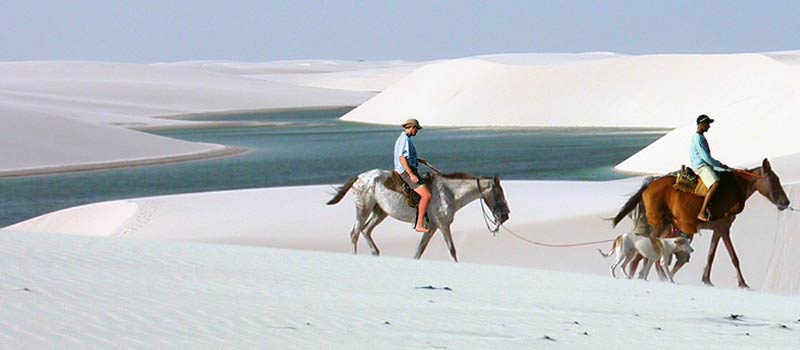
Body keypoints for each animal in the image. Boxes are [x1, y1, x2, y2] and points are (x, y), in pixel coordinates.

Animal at [326, 168, 510, 262]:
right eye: (499, 193)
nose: (505, 216)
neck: (449, 193)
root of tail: (359, 177)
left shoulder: (432, 228)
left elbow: (419, 251)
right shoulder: (443, 225)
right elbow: (452, 250)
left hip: (380, 212)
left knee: (366, 231)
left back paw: (375, 253)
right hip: (363, 209)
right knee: (355, 233)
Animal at [616, 159, 792, 288]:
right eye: (773, 180)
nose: (785, 202)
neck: (735, 189)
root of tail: (648, 186)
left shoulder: (718, 229)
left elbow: (711, 255)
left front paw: (706, 280)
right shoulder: (724, 228)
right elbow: (733, 256)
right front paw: (743, 283)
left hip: (664, 225)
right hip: (658, 224)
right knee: (648, 250)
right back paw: (652, 275)